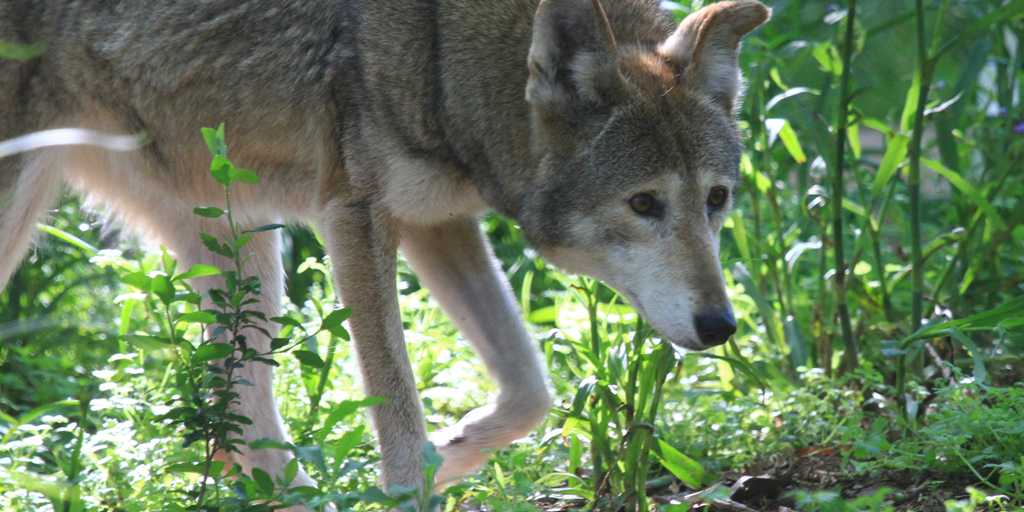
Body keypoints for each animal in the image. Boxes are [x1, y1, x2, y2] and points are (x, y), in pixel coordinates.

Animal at [0, 0, 769, 502]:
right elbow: (397, 412)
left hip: (248, 260)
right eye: (643, 204)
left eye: (717, 199)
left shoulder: (439, 223)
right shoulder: (359, 219)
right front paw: (415, 483)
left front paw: (455, 451)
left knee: (232, 429)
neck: (442, 55)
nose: (721, 327)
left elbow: (531, 388)